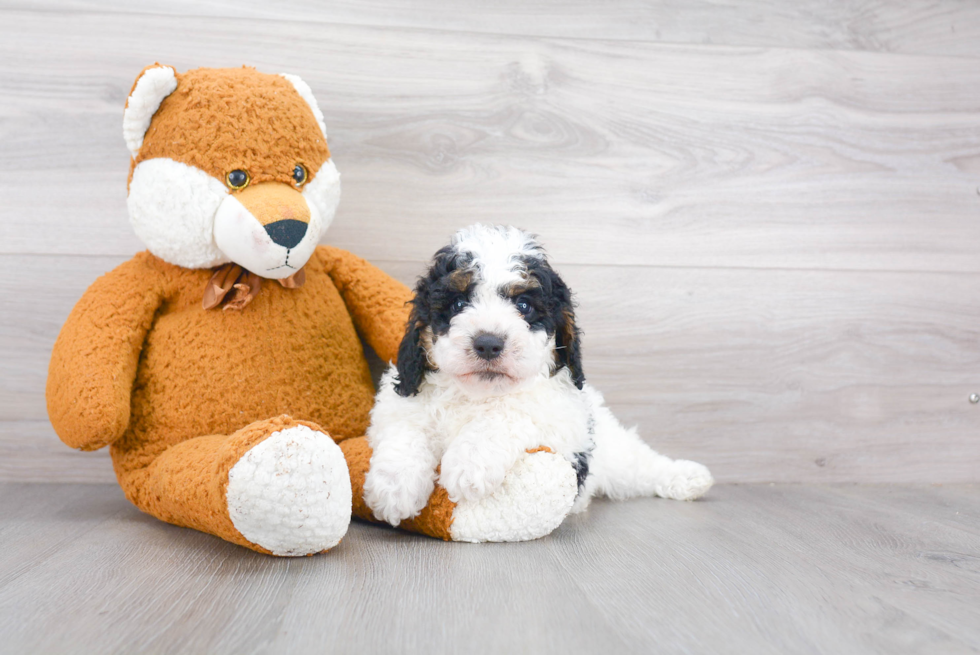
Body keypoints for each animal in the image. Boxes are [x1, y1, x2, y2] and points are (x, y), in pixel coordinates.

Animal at [364, 226, 708, 528]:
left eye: (524, 305)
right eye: (458, 303)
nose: (488, 343)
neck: (476, 393)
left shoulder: (560, 417)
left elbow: (506, 413)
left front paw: (469, 464)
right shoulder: (403, 400)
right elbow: (406, 430)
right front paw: (393, 489)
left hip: (612, 449)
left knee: (640, 465)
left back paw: (688, 477)